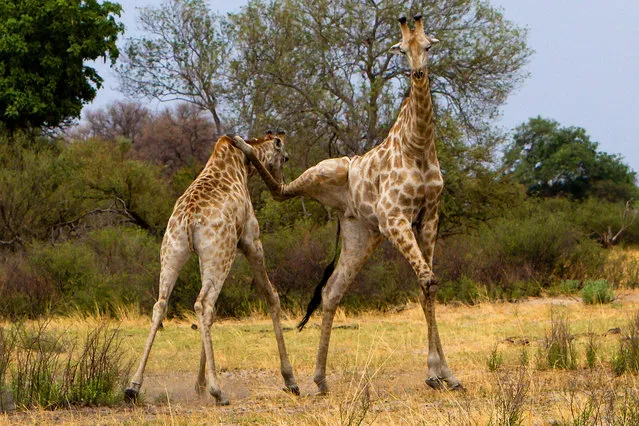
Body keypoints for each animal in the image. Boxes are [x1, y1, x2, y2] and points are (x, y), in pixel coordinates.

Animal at [124, 131, 300, 404]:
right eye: (286, 157)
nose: (281, 184)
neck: (241, 165)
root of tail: (188, 219)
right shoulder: (251, 240)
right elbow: (271, 296)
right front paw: (290, 380)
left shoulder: (202, 256)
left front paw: (198, 385)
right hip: (220, 254)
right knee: (203, 304)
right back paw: (218, 391)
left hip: (173, 252)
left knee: (161, 305)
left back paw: (133, 386)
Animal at [232, 14, 462, 392]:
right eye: (402, 49)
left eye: (428, 46)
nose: (417, 74)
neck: (418, 147)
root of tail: (342, 207)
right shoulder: (395, 218)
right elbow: (427, 281)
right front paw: (435, 372)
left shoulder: (429, 217)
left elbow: (426, 283)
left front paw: (446, 373)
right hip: (327, 174)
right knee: (281, 191)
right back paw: (245, 144)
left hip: (361, 234)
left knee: (332, 292)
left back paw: (321, 378)